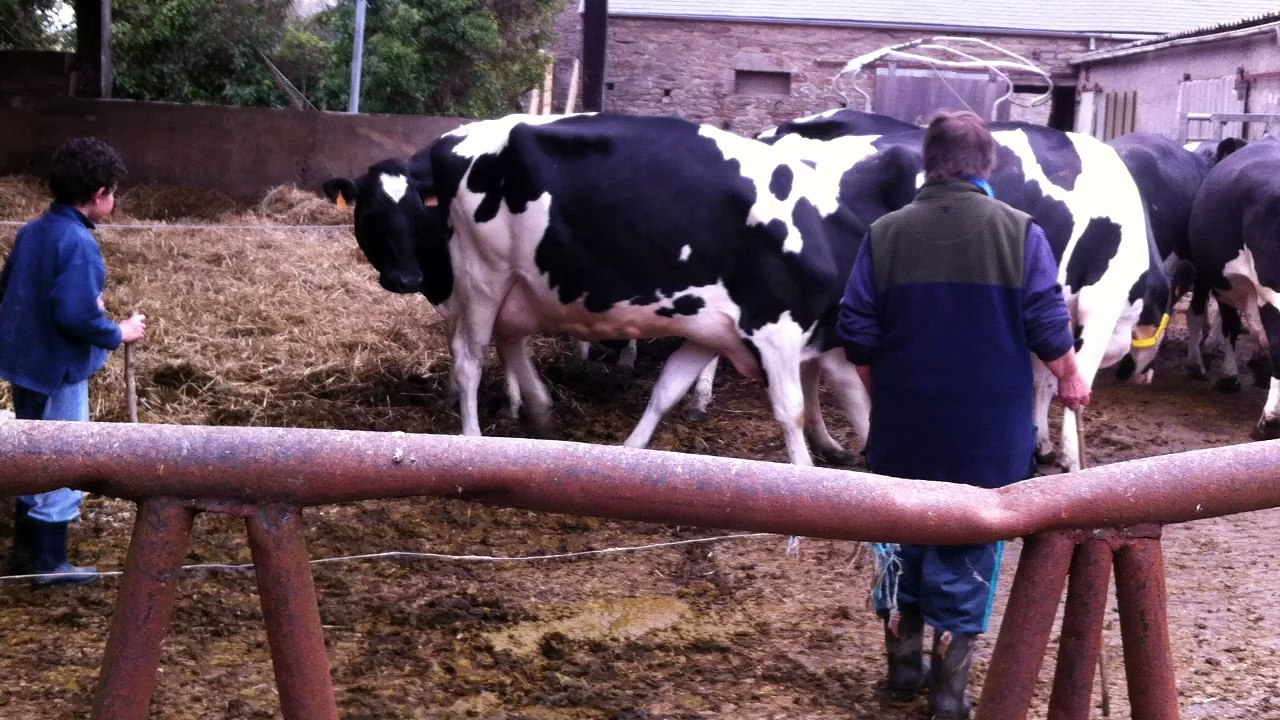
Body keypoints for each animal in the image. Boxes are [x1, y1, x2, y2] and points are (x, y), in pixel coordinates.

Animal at [324, 113, 870, 466]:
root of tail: (456, 136)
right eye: (371, 215)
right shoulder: (777, 328)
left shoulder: (710, 332)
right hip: (484, 275)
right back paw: (475, 436)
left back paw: (537, 412)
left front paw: (629, 452)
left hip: (516, 282)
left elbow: (667, 389)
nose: (404, 278)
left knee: (505, 340)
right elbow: (792, 410)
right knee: (469, 355)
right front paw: (807, 476)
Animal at [764, 117, 1169, 472]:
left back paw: (829, 446)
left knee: (810, 371)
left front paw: (1042, 444)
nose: (1139, 374)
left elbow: (1044, 377)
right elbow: (1076, 381)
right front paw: (1072, 457)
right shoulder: (1099, 300)